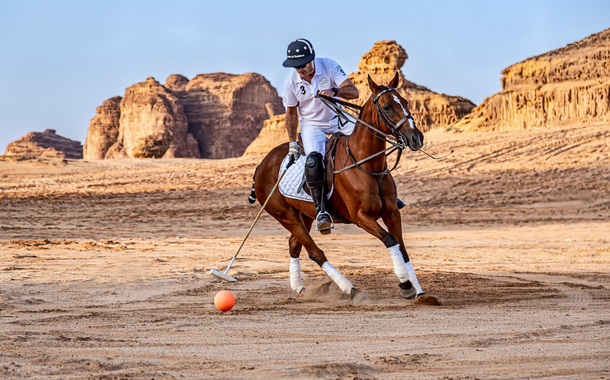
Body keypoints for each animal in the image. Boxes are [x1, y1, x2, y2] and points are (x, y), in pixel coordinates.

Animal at [249, 72, 426, 302]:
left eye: (405, 102)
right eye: (386, 107)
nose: (417, 138)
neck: (367, 164)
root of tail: (261, 165)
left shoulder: (392, 212)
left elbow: (402, 247)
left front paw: (420, 292)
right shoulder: (360, 216)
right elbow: (390, 240)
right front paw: (405, 286)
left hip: (305, 214)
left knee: (294, 245)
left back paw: (300, 288)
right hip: (285, 215)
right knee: (315, 252)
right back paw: (351, 290)